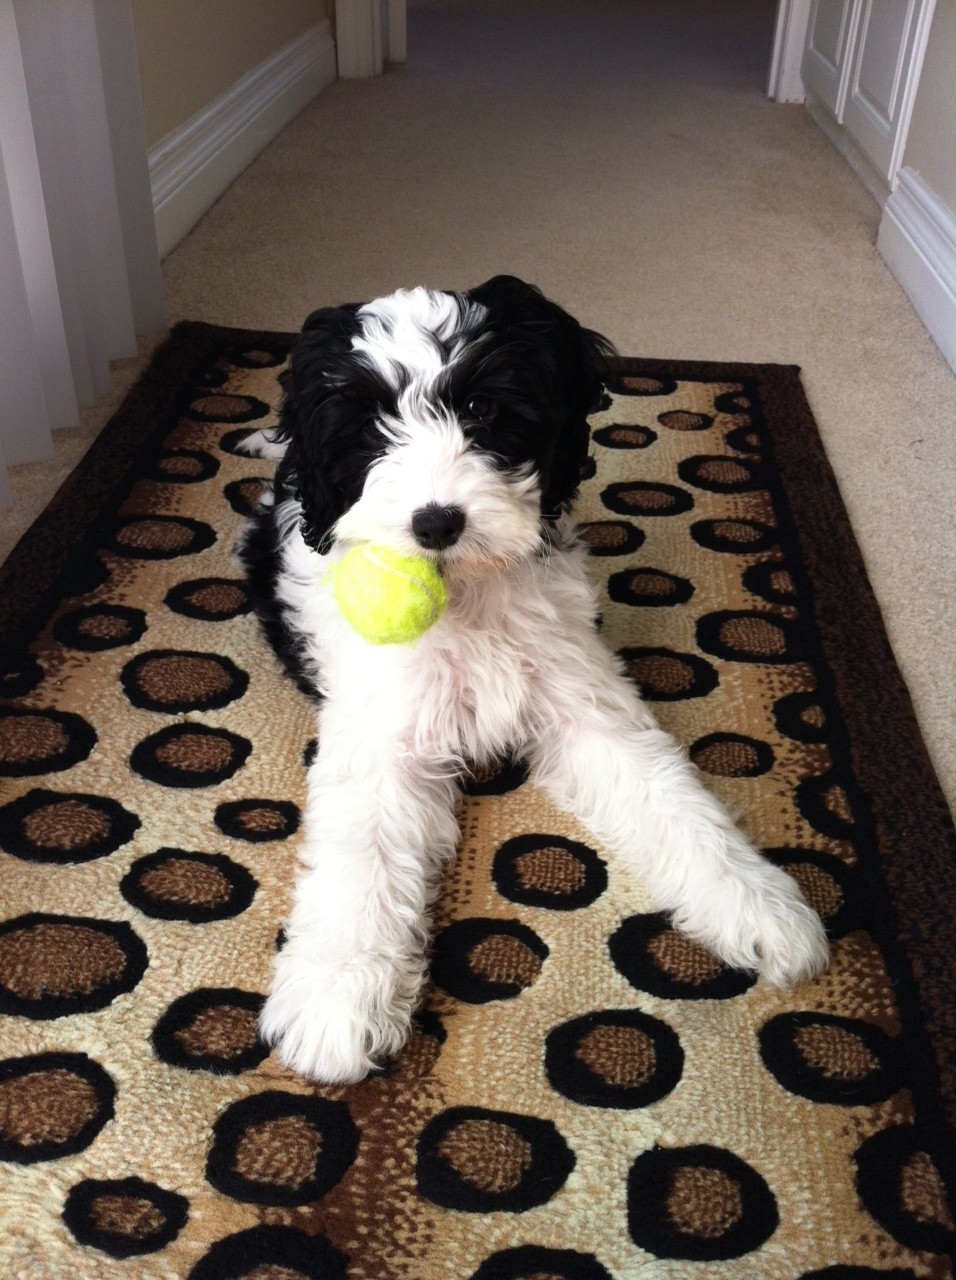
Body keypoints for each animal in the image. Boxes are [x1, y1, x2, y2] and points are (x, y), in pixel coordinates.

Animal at [235, 277, 824, 1080]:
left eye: (483, 410)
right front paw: (338, 998)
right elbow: (363, 854)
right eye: (370, 428)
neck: (469, 596)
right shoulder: (382, 734)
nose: (436, 522)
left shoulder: (586, 702)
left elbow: (671, 800)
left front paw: (758, 905)